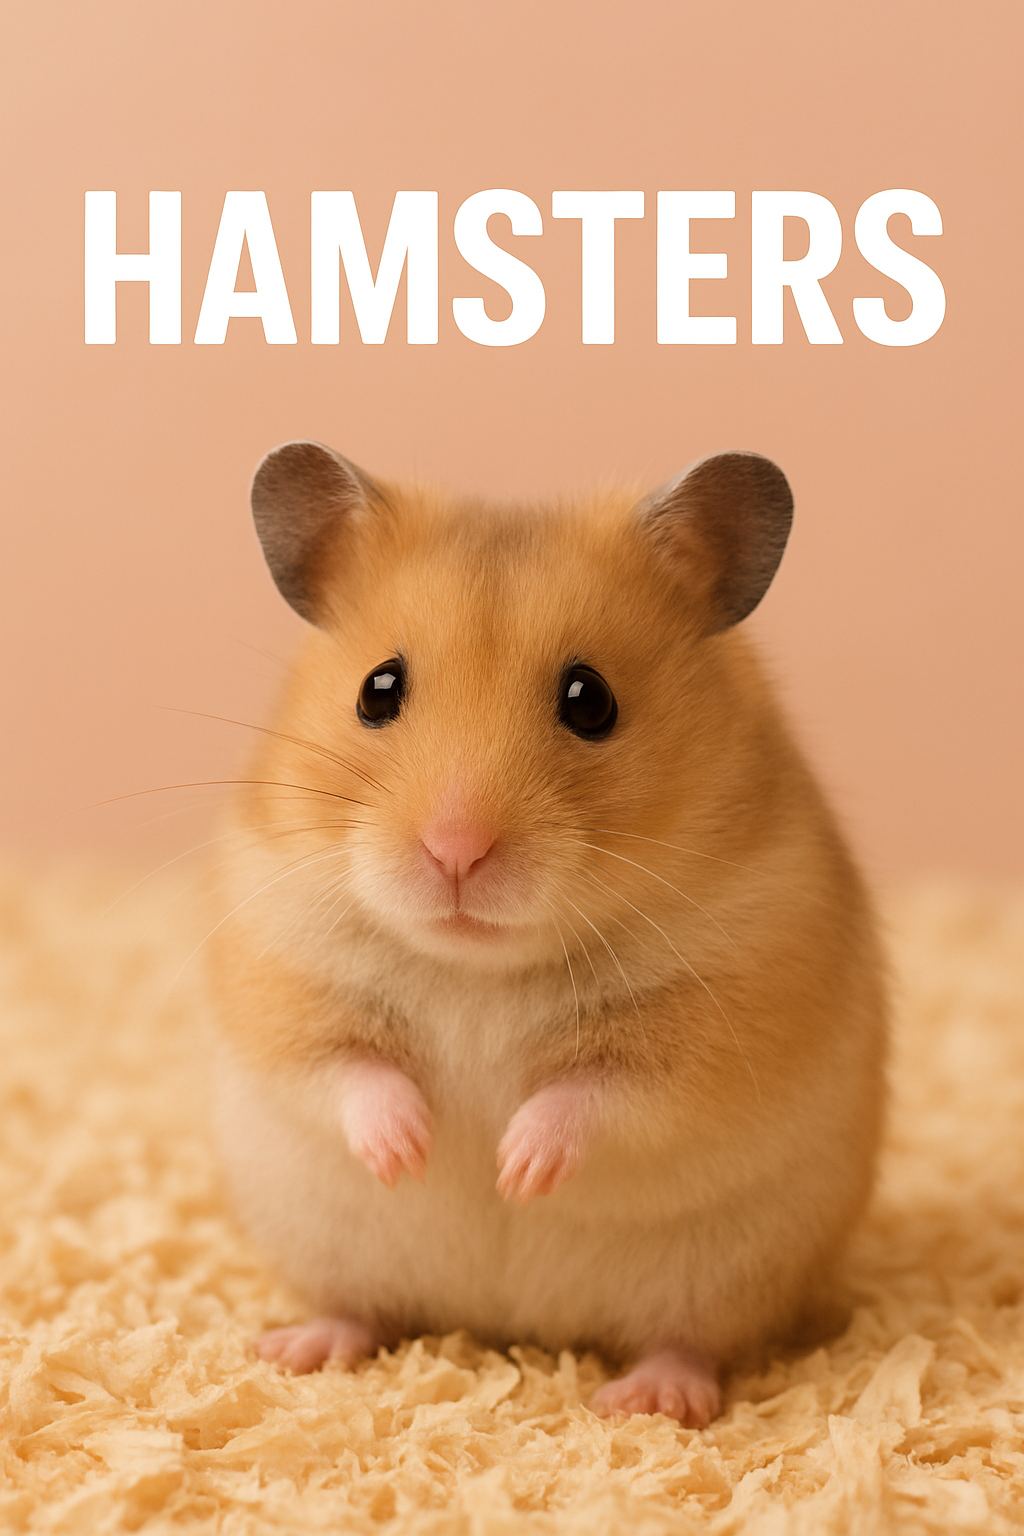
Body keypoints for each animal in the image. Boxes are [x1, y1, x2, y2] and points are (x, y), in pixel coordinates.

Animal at [208, 440, 886, 1427]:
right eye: (378, 689)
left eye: (589, 699)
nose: (455, 850)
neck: (480, 965)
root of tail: (510, 1322)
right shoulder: (282, 966)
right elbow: (347, 1071)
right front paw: (413, 1154)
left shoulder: (728, 1003)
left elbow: (598, 1093)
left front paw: (513, 1171)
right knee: (358, 1309)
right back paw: (297, 1347)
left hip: (725, 1276)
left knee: (690, 1342)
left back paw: (650, 1399)